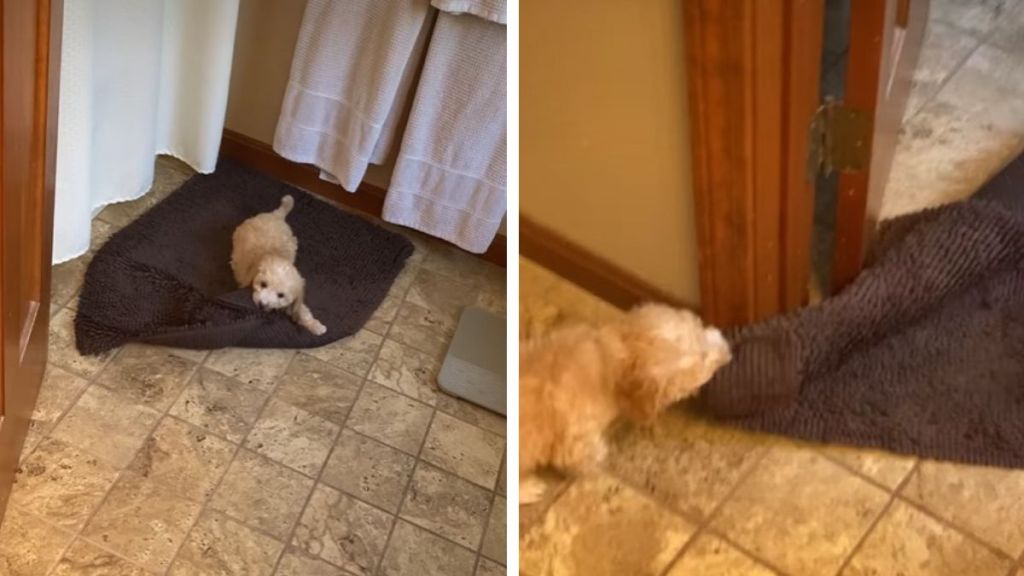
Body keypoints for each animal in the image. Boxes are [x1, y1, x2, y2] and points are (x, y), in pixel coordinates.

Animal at [231, 194, 323, 334]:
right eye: (263, 284)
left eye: (281, 295)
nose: (262, 305)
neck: (275, 255)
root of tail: (276, 215)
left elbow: (301, 309)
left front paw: (315, 325)